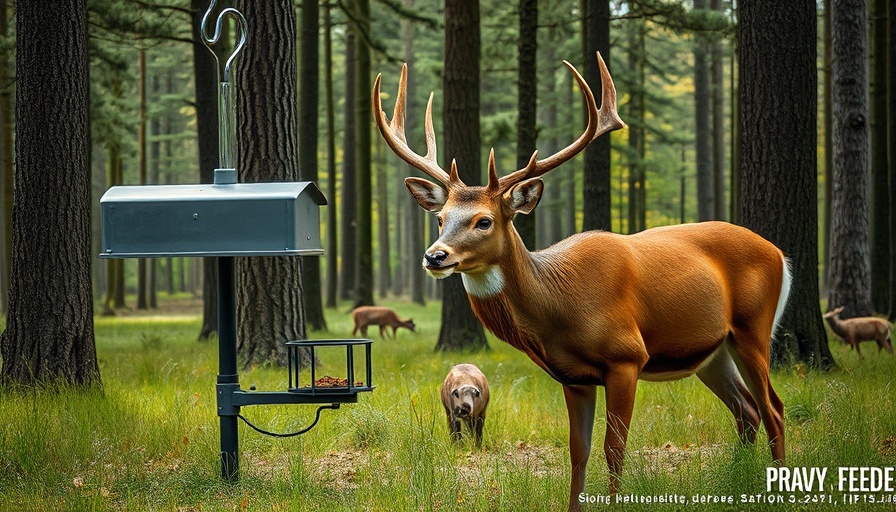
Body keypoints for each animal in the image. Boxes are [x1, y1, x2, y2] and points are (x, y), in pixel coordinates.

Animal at [372, 52, 792, 508]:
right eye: (441, 218)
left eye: (484, 220)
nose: (434, 256)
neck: (560, 310)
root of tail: (779, 254)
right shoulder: (572, 377)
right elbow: (579, 451)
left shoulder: (627, 357)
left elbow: (614, 448)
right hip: (712, 352)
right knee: (746, 411)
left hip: (753, 328)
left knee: (774, 410)